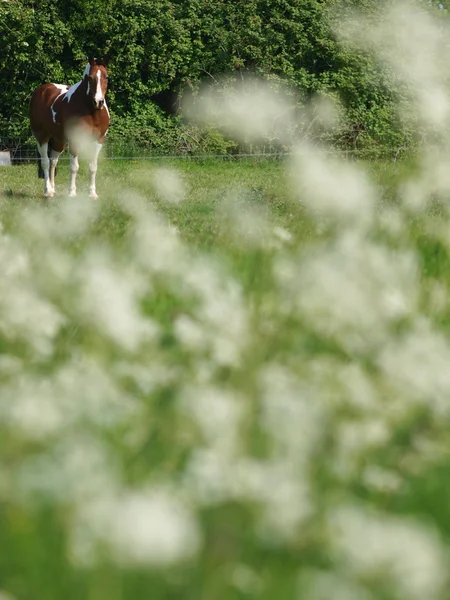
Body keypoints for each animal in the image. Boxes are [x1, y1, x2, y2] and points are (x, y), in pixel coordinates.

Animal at [29, 56, 110, 198]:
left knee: (53, 162)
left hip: (58, 141)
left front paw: (92, 193)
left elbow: (93, 167)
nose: (98, 102)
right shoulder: (75, 140)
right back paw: (47, 191)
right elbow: (74, 167)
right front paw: (72, 193)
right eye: (90, 77)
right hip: (41, 137)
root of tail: (42, 90)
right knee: (45, 162)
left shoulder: (98, 141)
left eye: (106, 77)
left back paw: (53, 189)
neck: (91, 111)